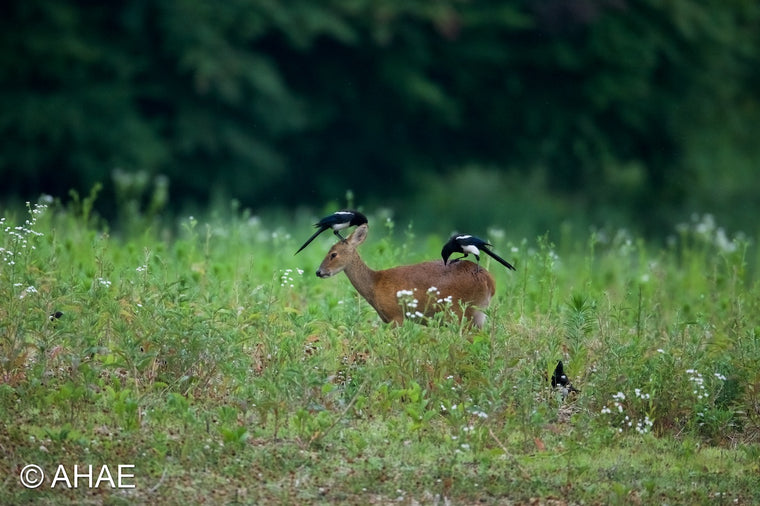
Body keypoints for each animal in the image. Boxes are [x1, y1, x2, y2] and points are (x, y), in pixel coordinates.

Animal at [315, 224, 496, 328]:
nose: (319, 271)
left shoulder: (396, 315)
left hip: (463, 312)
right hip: (478, 314)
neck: (375, 284)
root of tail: (490, 281)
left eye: (333, 254)